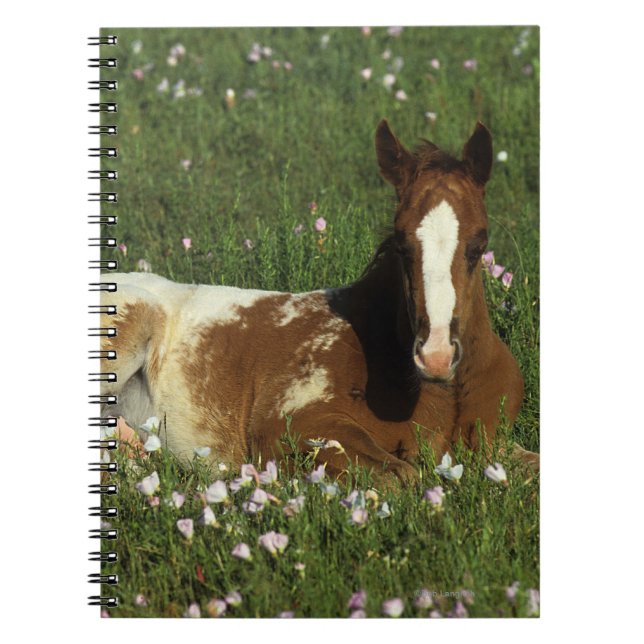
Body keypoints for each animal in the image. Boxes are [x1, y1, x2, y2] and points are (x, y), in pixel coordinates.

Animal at [100, 120, 537, 482]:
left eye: (479, 243)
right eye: (401, 243)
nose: (436, 356)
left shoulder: (496, 444)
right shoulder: (287, 425)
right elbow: (401, 477)